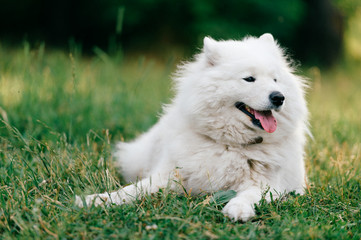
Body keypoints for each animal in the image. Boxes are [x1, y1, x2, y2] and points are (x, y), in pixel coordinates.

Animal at [74, 33, 308, 221]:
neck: (229, 144)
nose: (279, 97)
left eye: (275, 80)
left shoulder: (268, 184)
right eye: (249, 79)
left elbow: (251, 194)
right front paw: (97, 199)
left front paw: (238, 208)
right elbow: (131, 190)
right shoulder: (168, 176)